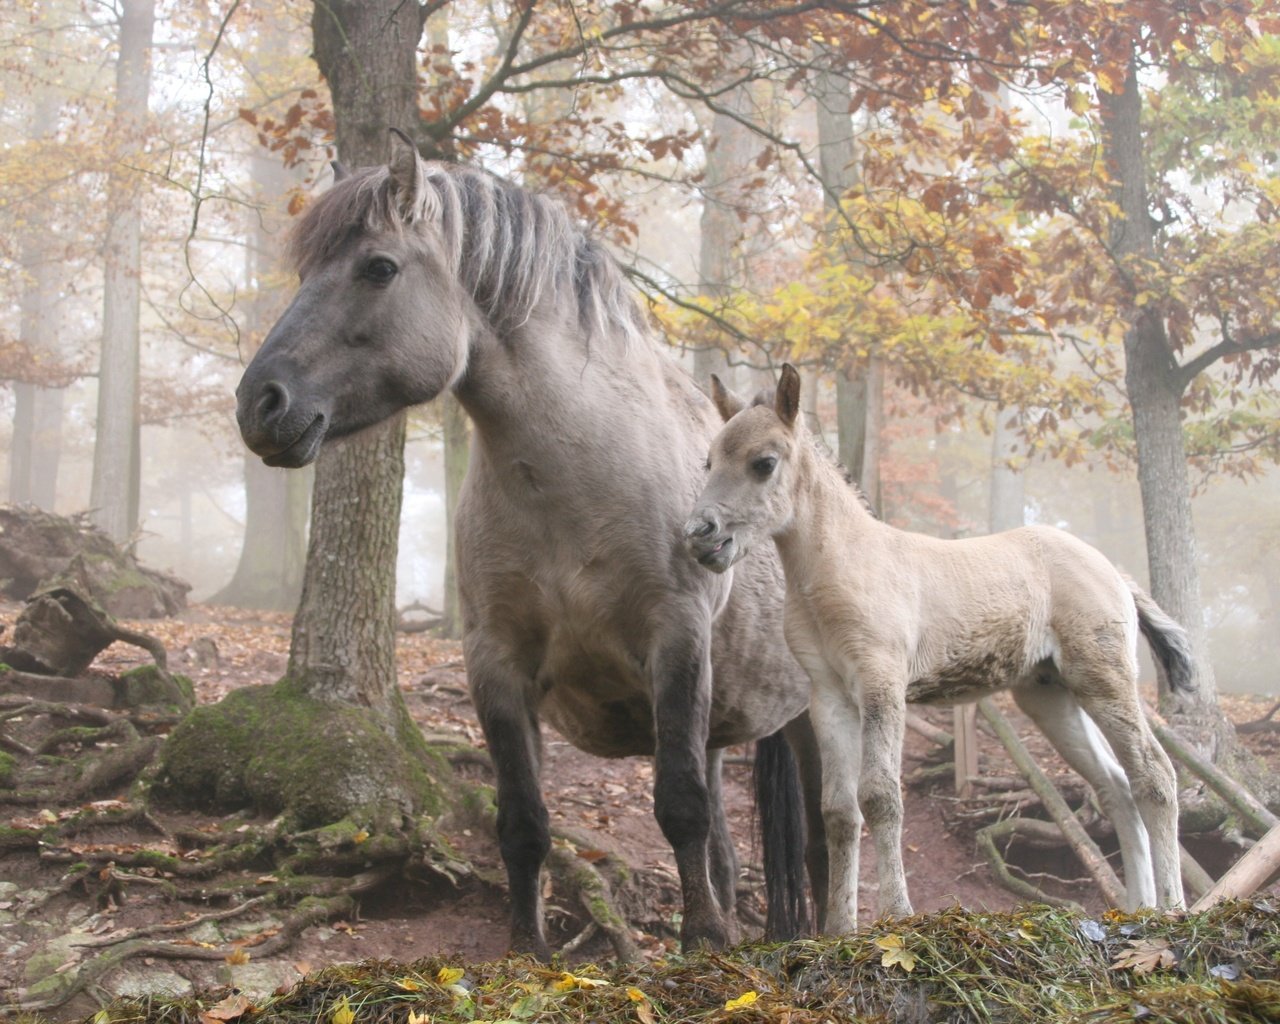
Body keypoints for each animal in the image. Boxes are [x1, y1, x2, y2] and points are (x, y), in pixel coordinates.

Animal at [236, 138, 819, 962]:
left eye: (378, 267)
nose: (260, 404)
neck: (574, 482)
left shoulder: (676, 639)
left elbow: (680, 806)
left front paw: (702, 941)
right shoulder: (496, 662)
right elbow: (522, 822)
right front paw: (528, 950)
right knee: (728, 848)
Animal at [686, 363, 1192, 931]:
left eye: (764, 463)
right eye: (709, 461)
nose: (701, 535)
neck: (841, 567)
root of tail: (1114, 573)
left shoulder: (882, 685)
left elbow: (881, 796)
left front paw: (897, 915)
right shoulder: (829, 696)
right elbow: (839, 810)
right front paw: (839, 930)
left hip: (1103, 679)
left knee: (1154, 774)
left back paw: (1172, 907)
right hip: (1050, 695)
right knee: (1116, 787)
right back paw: (1137, 909)